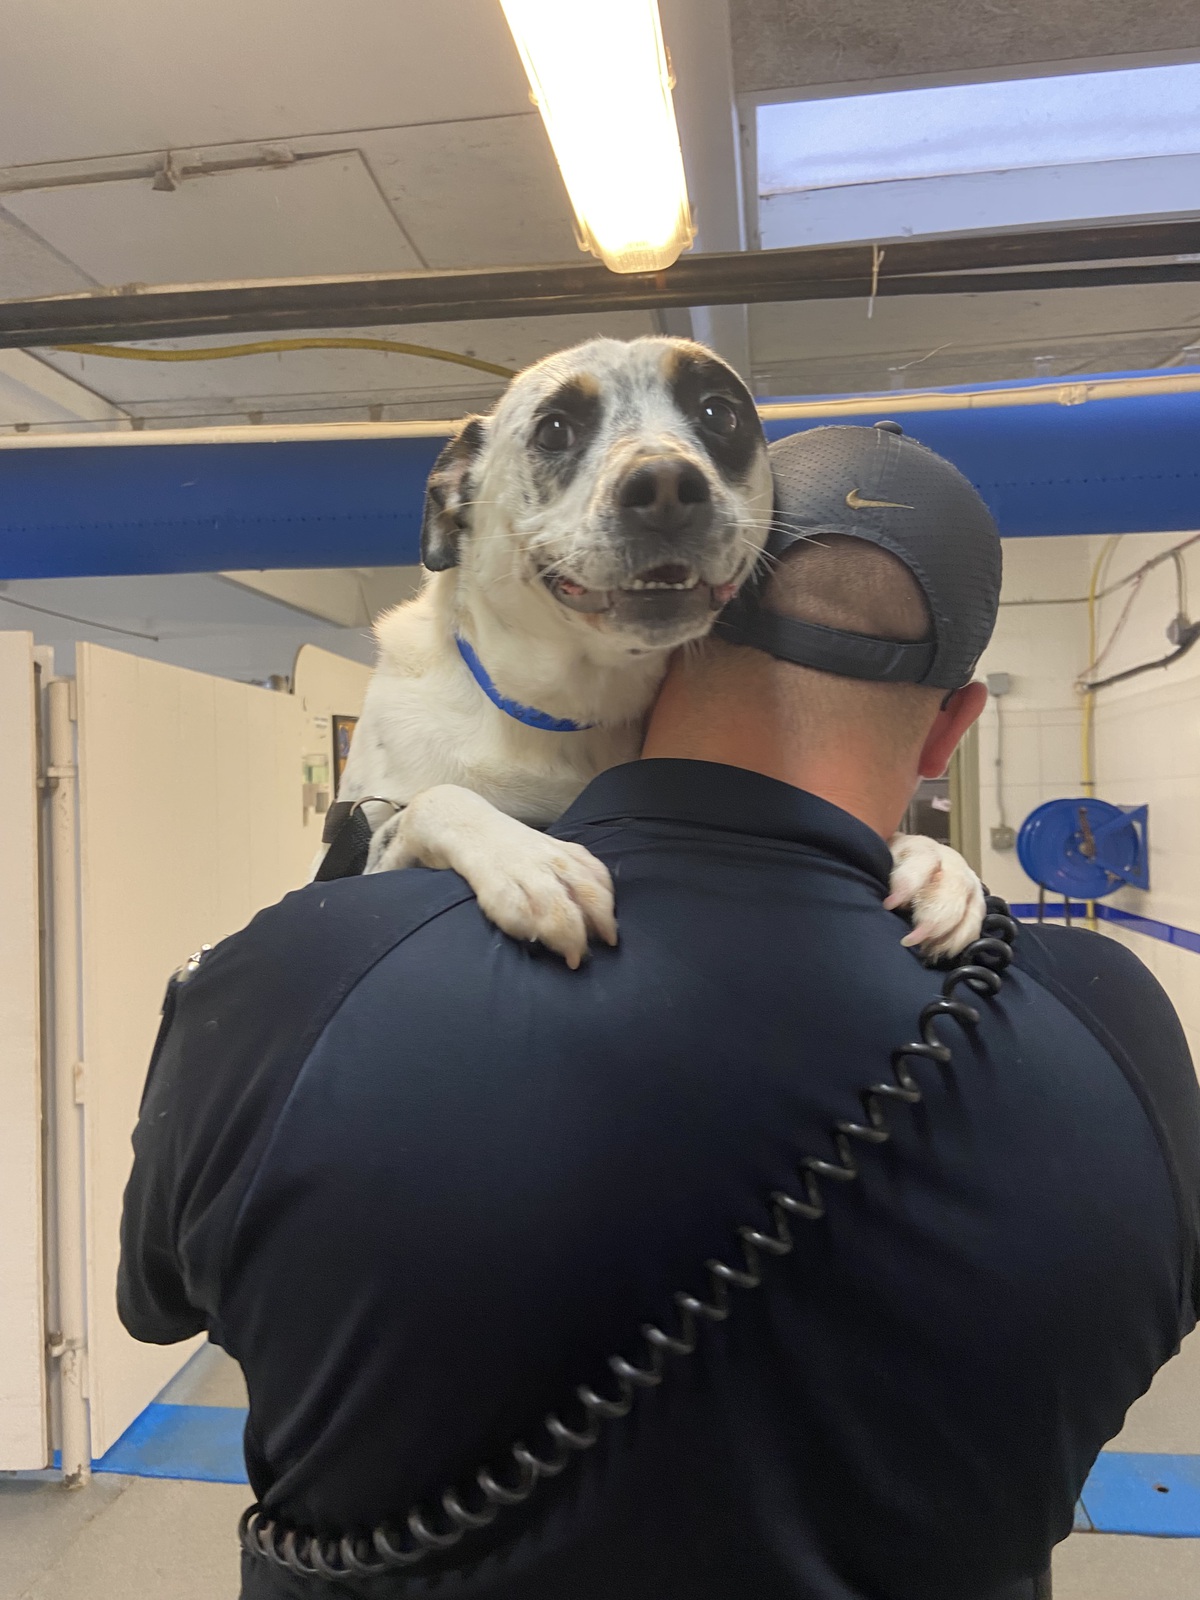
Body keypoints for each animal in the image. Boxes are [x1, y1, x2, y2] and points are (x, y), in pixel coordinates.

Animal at [321, 332, 985, 966]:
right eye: (555, 428)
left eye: (719, 412)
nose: (665, 483)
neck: (564, 714)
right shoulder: (353, 858)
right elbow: (434, 800)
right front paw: (531, 860)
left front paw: (936, 860)